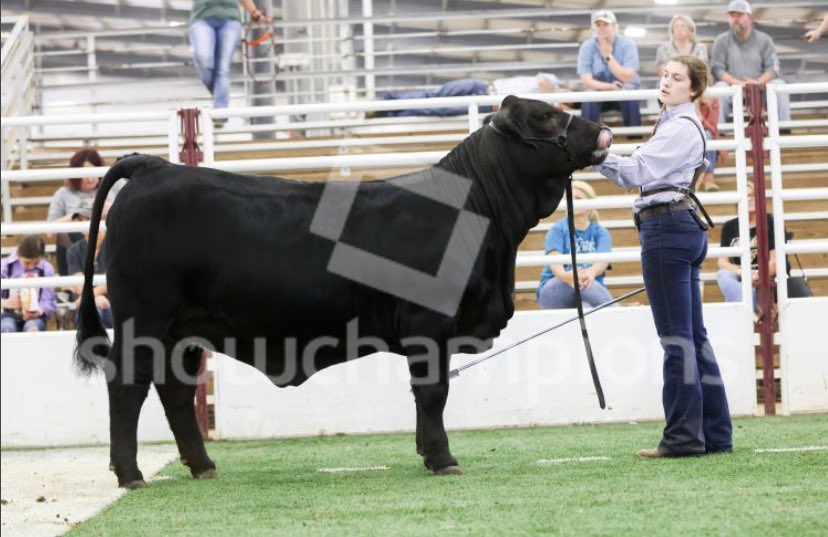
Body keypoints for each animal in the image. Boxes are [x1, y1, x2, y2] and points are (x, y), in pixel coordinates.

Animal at [75, 96, 612, 488]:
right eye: (546, 116)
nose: (599, 130)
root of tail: (155, 167)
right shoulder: (428, 326)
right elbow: (433, 392)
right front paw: (442, 459)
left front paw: (427, 454)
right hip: (143, 320)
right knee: (128, 385)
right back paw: (131, 474)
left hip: (183, 330)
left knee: (176, 390)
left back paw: (203, 466)